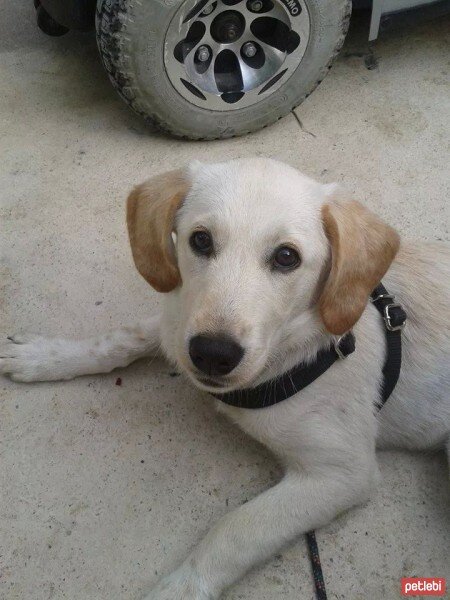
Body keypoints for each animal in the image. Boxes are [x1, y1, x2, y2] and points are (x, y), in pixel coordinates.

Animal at [1, 156, 448, 600]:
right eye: (201, 240)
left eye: (287, 257)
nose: (213, 355)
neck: (289, 352)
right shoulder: (179, 325)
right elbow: (120, 339)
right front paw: (47, 356)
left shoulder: (343, 473)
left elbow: (236, 529)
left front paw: (178, 590)